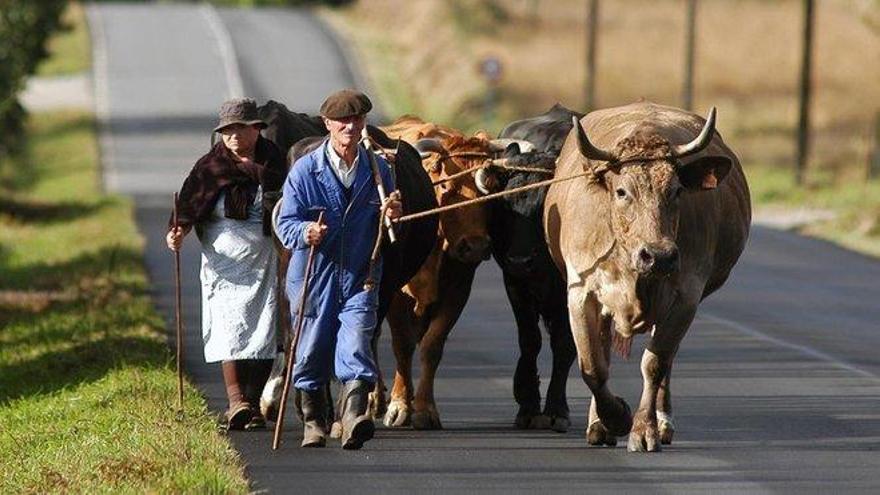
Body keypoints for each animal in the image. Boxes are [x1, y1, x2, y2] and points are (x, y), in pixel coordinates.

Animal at [380, 116, 498, 430]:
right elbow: (402, 345)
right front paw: (399, 405)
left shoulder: (458, 290)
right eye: (447, 189)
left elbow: (431, 346)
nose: (476, 246)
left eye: (490, 192)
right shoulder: (395, 294)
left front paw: (423, 408)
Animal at [478, 105, 580, 434]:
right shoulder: (514, 284)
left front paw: (557, 409)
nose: (521, 260)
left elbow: (564, 344)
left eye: (544, 209)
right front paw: (528, 403)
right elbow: (529, 340)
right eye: (503, 206)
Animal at [544, 101, 748, 454]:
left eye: (677, 190)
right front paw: (614, 419)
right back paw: (599, 424)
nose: (659, 255)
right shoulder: (580, 292)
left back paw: (663, 422)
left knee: (666, 360)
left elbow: (655, 363)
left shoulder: (687, 296)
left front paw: (643, 429)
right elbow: (592, 366)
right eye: (622, 191)